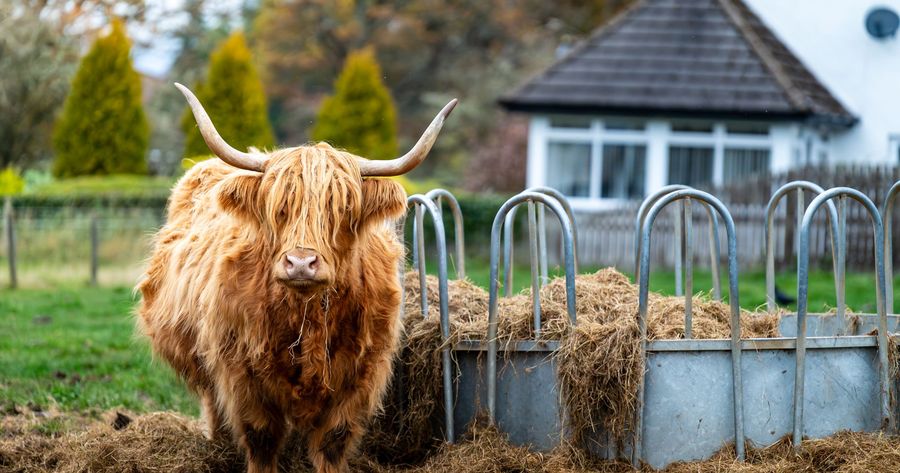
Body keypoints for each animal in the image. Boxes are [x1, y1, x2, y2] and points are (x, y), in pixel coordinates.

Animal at [136, 83, 456, 473]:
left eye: (342, 208)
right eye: (279, 208)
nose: (301, 263)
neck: (307, 317)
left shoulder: (360, 375)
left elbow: (333, 441)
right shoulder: (241, 372)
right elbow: (261, 438)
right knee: (213, 405)